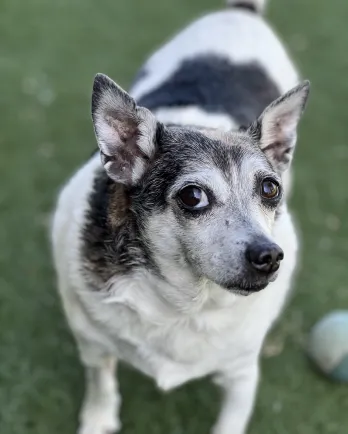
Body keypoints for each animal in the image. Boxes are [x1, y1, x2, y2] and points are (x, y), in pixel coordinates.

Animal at [51, 0, 310, 432]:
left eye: (270, 189)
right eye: (193, 196)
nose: (269, 256)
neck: (187, 303)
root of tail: (242, 11)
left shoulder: (241, 372)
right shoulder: (93, 344)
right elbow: (102, 384)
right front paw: (99, 418)